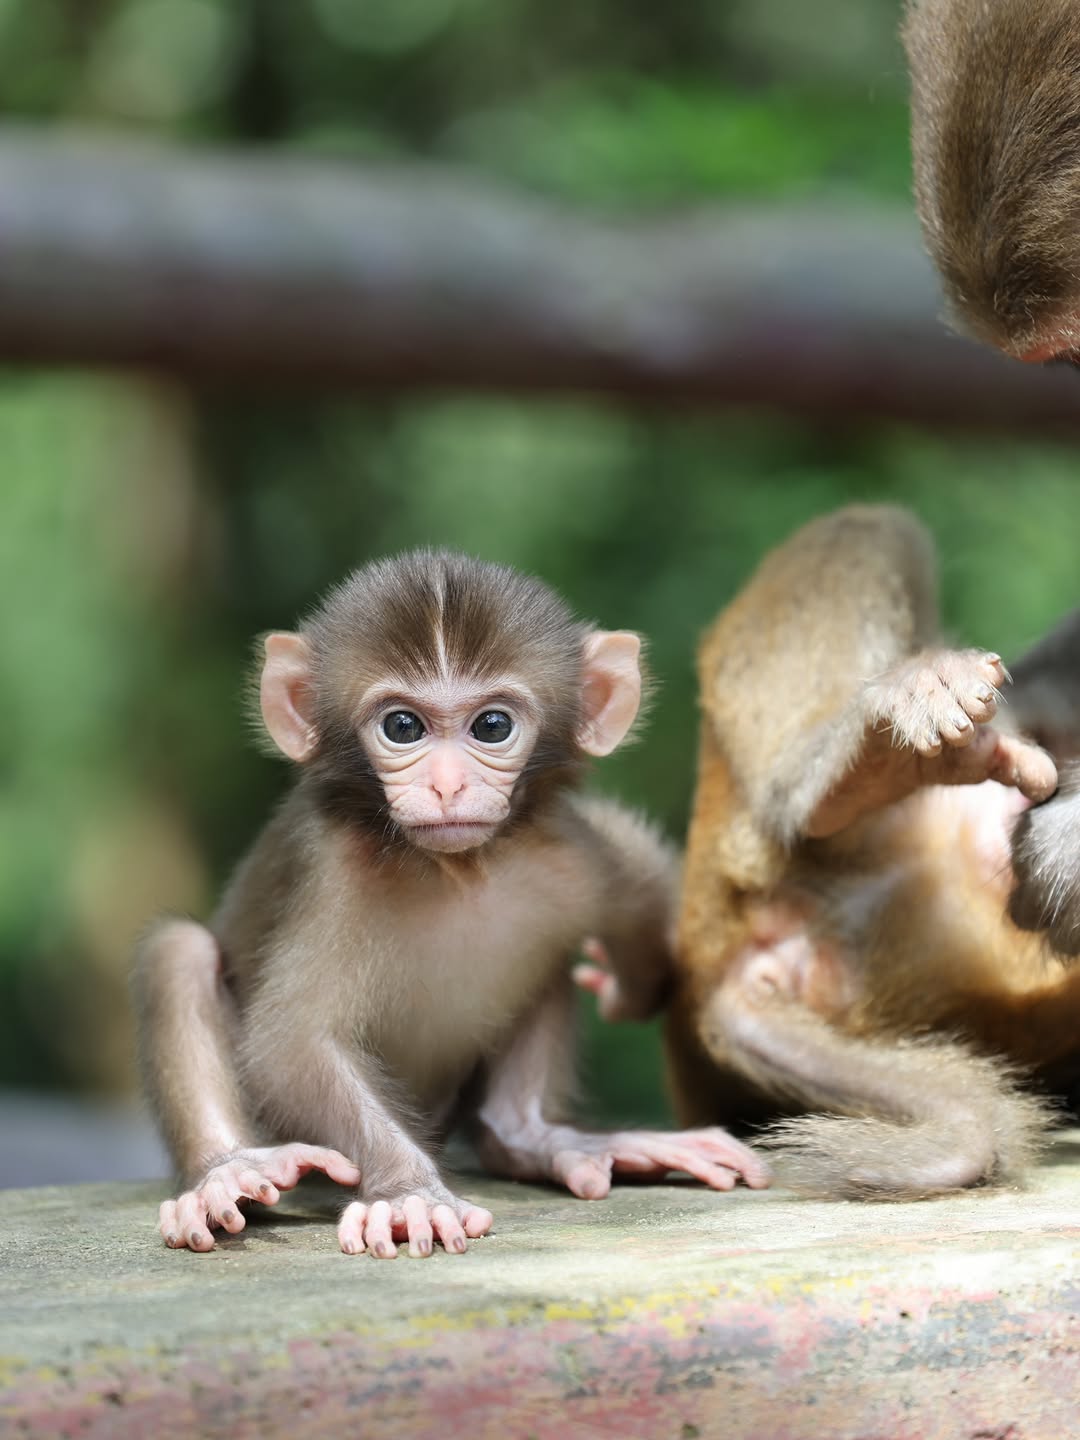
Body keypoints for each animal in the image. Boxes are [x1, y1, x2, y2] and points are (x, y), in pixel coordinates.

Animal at [133, 549, 768, 1258]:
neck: (452, 870)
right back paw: (227, 1170)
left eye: (492, 726)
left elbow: (652, 890)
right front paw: (410, 1192)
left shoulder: (569, 853)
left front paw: (630, 984)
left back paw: (540, 1138)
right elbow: (291, 1042)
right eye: (402, 726)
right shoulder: (331, 870)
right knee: (181, 950)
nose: (446, 786)